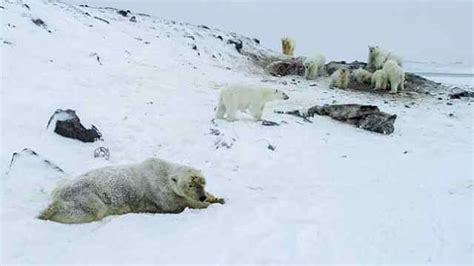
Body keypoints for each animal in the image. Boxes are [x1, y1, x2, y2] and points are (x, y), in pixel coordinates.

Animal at [36, 159, 225, 223]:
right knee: (88, 211)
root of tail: (57, 193)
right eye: (190, 185)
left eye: (203, 182)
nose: (201, 196)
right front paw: (205, 204)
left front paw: (217, 198)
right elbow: (176, 204)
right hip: (85, 195)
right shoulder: (161, 192)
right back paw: (48, 212)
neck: (163, 172)